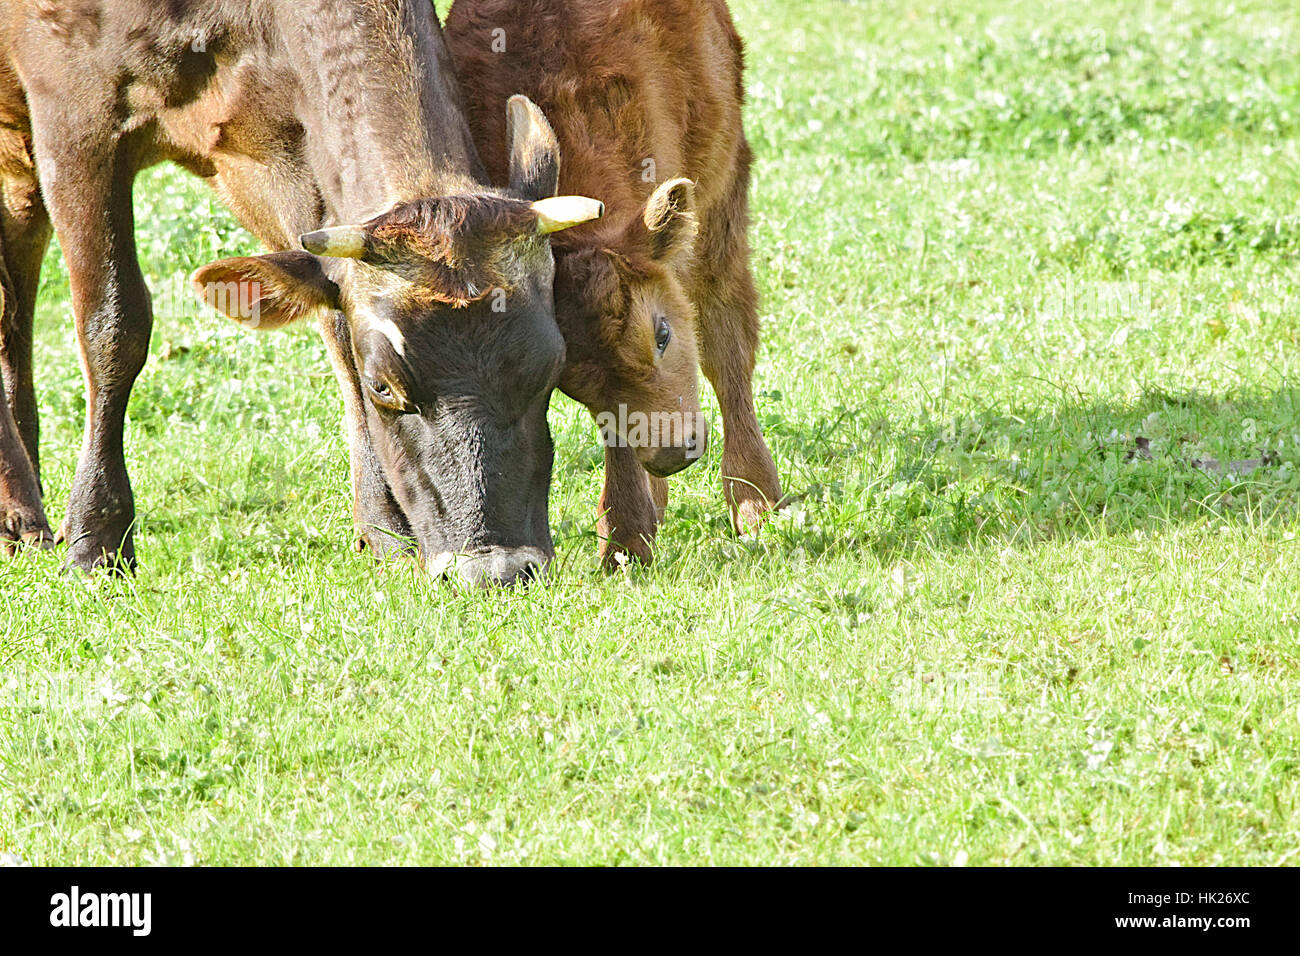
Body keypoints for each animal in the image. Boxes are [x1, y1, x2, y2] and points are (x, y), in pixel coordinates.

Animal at [0, 0, 603, 587]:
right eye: (384, 386)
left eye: (554, 368)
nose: (497, 568)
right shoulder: (71, 108)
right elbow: (113, 324)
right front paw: (96, 542)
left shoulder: (285, 149)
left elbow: (335, 325)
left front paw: (384, 531)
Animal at [447, 0, 780, 567]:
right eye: (572, 384)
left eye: (662, 334)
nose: (671, 452)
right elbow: (616, 435)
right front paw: (625, 541)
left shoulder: (720, 200)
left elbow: (728, 347)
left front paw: (757, 506)